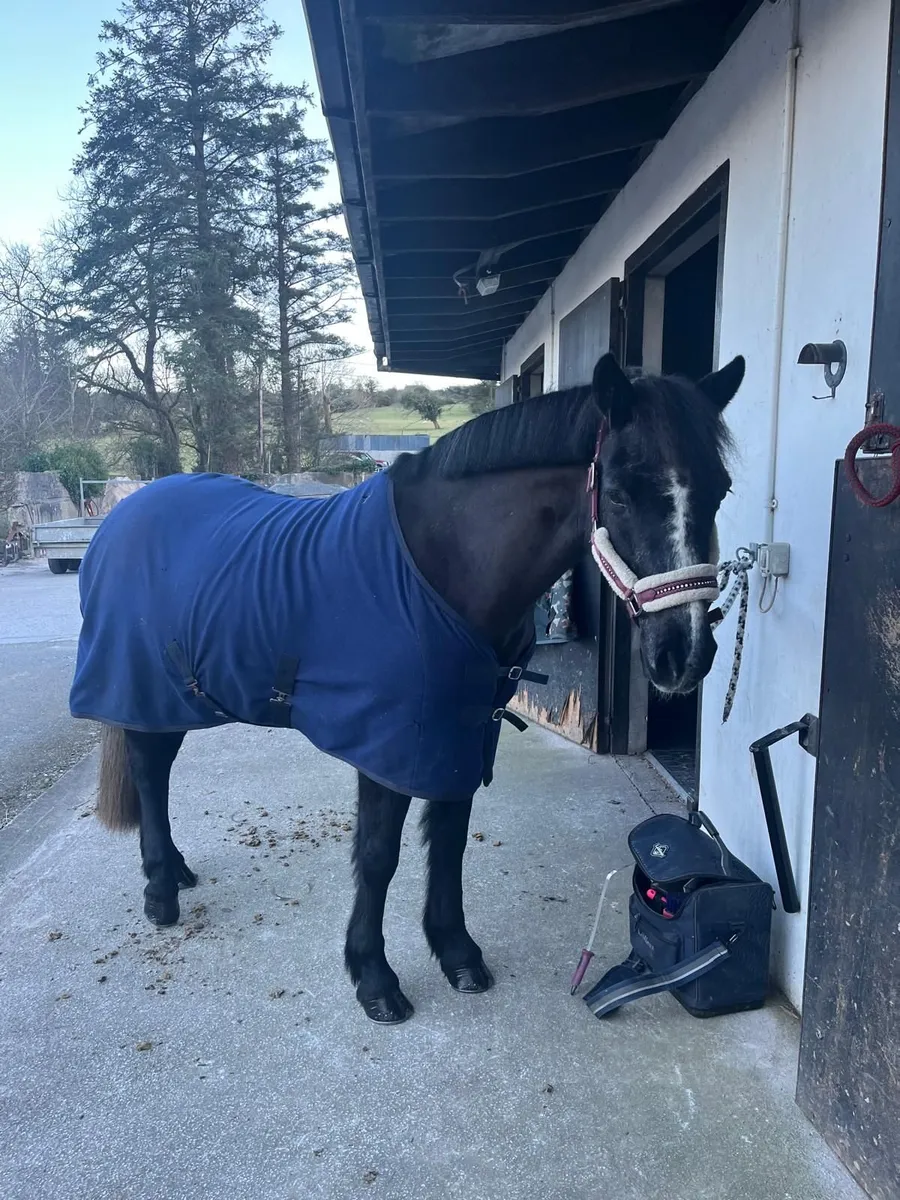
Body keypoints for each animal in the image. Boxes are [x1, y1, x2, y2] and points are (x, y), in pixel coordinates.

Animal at [70, 351, 743, 1024]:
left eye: (721, 490)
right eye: (623, 494)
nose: (684, 656)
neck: (444, 565)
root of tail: (122, 515)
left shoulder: (464, 730)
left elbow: (448, 841)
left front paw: (457, 953)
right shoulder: (389, 742)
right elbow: (378, 856)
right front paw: (374, 977)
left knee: (156, 772)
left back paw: (175, 874)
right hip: (146, 689)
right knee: (150, 771)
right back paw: (161, 892)